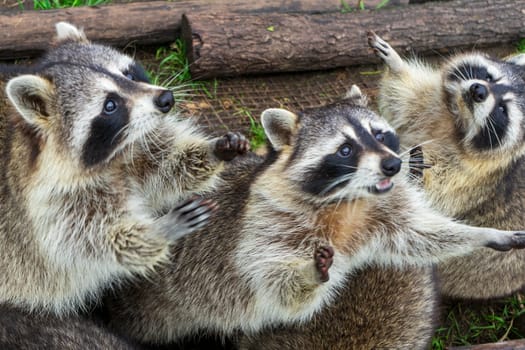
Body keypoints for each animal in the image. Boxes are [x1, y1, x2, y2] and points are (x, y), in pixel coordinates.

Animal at [0, 22, 248, 318]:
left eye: (128, 72)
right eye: (110, 105)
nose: (166, 99)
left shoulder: (134, 145)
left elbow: (162, 169)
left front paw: (214, 151)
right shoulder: (47, 203)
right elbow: (86, 240)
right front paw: (159, 230)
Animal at [101, 85, 524, 348]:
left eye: (379, 134)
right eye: (345, 150)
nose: (392, 164)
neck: (349, 202)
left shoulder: (384, 211)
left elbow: (418, 235)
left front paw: (479, 234)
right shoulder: (264, 224)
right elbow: (274, 286)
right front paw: (310, 273)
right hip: (158, 304)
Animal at [366, 31, 524, 298]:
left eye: (503, 109)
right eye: (490, 77)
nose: (478, 90)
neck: (458, 121)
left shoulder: (477, 178)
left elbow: (436, 197)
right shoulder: (434, 106)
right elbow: (405, 99)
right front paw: (397, 65)